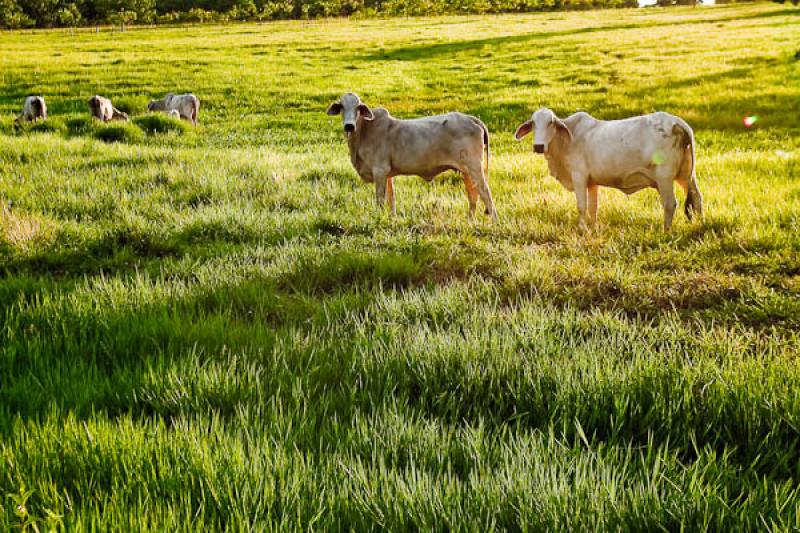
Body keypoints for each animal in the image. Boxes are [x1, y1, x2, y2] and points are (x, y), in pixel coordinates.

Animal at [324, 92, 494, 218]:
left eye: (358, 107)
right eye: (341, 106)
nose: (349, 126)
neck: (364, 132)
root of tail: (472, 118)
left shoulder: (379, 171)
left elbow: (380, 200)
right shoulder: (387, 174)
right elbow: (391, 200)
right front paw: (391, 219)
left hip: (475, 167)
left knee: (485, 192)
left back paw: (494, 223)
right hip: (466, 171)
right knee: (473, 195)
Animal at [516, 108, 704, 231]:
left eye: (551, 123)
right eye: (533, 124)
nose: (539, 146)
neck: (567, 139)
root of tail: (676, 122)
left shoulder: (579, 176)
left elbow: (581, 206)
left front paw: (582, 229)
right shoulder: (592, 183)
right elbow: (593, 207)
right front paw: (593, 228)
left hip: (664, 178)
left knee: (670, 204)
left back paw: (666, 231)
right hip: (686, 175)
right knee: (696, 198)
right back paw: (700, 224)